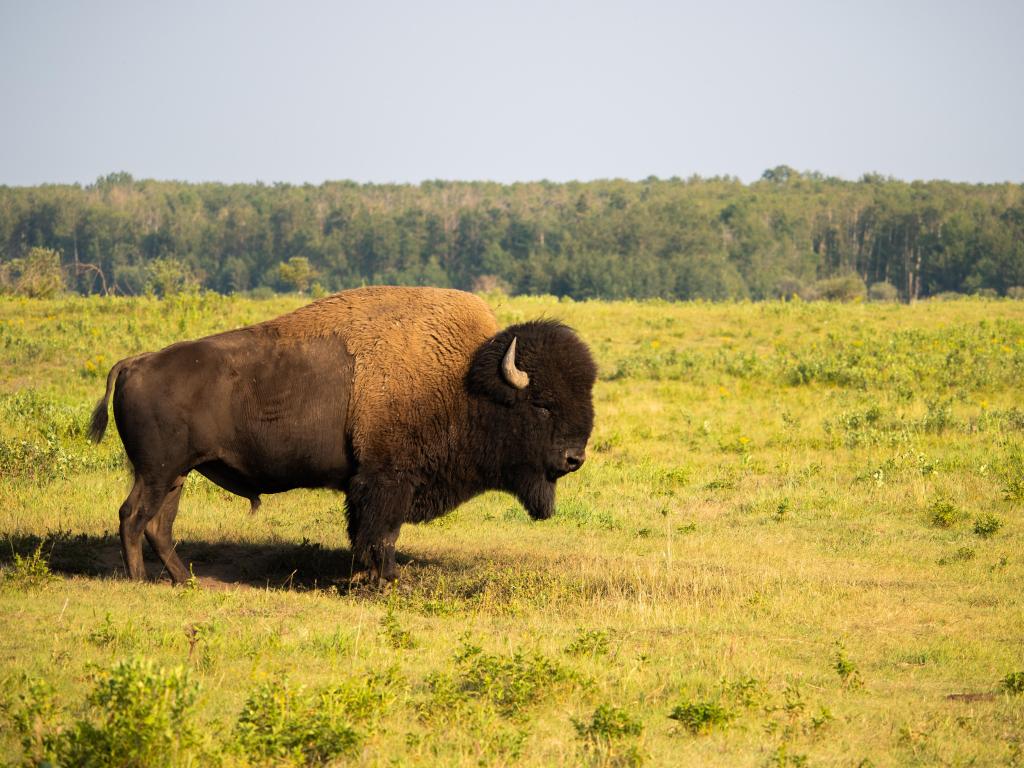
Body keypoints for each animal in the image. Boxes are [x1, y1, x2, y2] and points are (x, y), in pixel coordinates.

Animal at [93, 286, 598, 581]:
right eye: (542, 404)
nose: (574, 458)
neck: (464, 381)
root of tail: (135, 362)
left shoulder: (368, 484)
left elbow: (364, 534)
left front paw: (363, 577)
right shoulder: (387, 480)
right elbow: (382, 534)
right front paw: (385, 580)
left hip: (176, 475)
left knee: (158, 525)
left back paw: (186, 579)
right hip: (157, 473)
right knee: (133, 517)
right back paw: (140, 582)